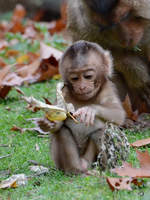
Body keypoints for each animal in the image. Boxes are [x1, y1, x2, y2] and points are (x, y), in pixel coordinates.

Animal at [50, 40, 125, 173]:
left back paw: (106, 169)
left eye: (88, 76)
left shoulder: (108, 89)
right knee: (61, 131)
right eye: (75, 78)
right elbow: (57, 122)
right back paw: (75, 169)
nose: (82, 87)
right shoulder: (63, 91)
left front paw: (90, 110)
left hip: (93, 160)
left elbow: (119, 115)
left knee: (101, 132)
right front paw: (48, 122)